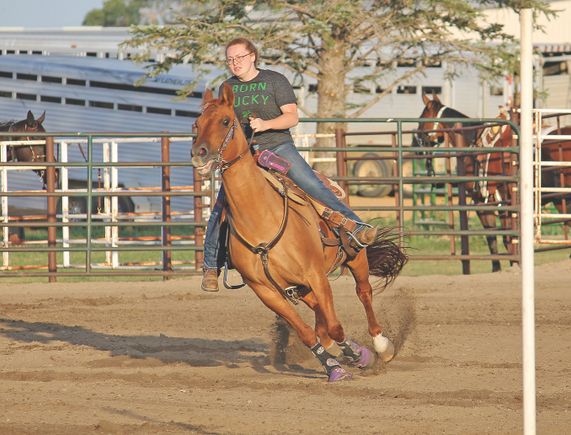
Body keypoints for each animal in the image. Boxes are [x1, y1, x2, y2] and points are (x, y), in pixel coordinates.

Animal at [192, 84, 406, 382]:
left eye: (225, 121)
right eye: (196, 123)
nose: (198, 153)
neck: (261, 219)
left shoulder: (315, 275)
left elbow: (336, 326)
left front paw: (355, 355)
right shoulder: (266, 291)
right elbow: (307, 333)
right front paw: (333, 367)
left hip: (354, 258)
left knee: (363, 293)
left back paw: (381, 346)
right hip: (299, 288)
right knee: (319, 312)